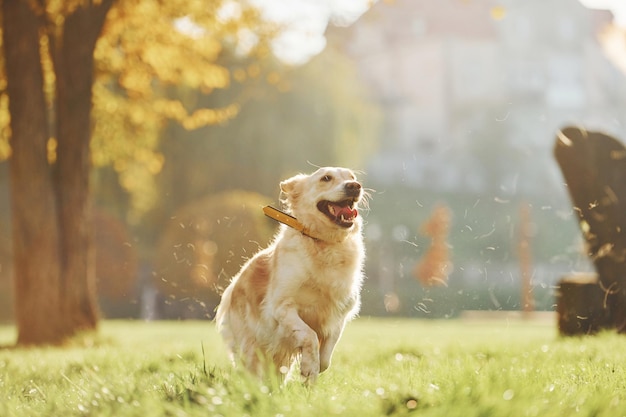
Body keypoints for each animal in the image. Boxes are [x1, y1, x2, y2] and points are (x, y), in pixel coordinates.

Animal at [216, 167, 366, 382]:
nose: (355, 186)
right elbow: (310, 335)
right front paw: (309, 367)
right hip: (249, 346)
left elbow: (327, 354)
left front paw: (314, 367)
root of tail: (233, 285)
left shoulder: (341, 311)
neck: (323, 243)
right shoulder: (282, 307)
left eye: (352, 177)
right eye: (326, 178)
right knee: (251, 372)